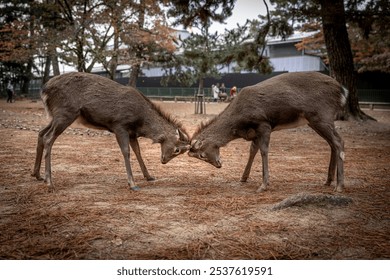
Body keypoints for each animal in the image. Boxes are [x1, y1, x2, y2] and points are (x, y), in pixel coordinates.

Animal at [31, 71, 190, 192]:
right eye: (177, 150)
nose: (163, 161)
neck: (142, 122)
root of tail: (44, 90)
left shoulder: (132, 133)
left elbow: (138, 152)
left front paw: (149, 176)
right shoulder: (119, 125)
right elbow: (126, 152)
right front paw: (132, 184)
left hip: (56, 116)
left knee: (41, 133)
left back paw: (37, 175)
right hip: (65, 112)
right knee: (48, 138)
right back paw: (49, 182)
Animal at [189, 71, 348, 192]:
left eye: (202, 155)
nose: (218, 165)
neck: (239, 124)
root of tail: (342, 91)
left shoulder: (264, 124)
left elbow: (264, 151)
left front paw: (264, 184)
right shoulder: (253, 133)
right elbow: (252, 150)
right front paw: (243, 177)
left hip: (321, 115)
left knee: (339, 141)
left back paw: (339, 186)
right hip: (315, 121)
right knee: (332, 143)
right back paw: (328, 180)